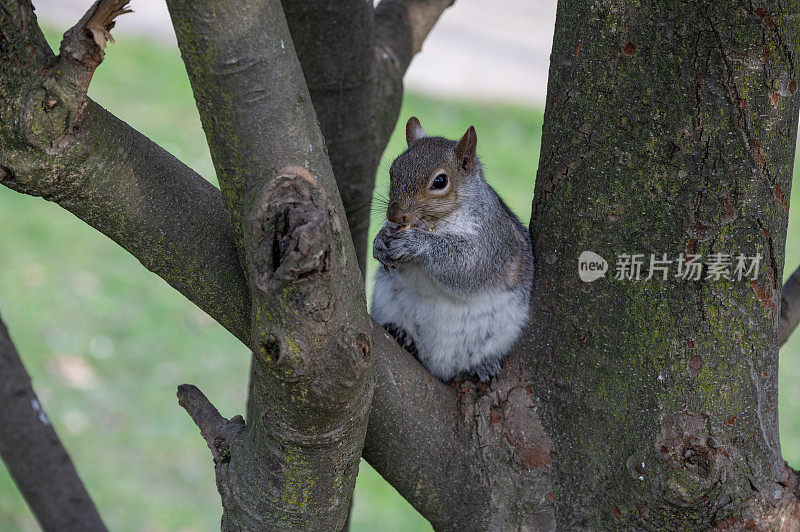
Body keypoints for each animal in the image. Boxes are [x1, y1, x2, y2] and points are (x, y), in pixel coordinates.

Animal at [372, 116, 536, 382]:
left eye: (440, 181)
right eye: (393, 170)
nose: (394, 215)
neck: (436, 224)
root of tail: (438, 368)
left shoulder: (492, 241)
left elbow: (465, 267)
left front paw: (415, 243)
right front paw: (378, 242)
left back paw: (483, 365)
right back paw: (402, 335)